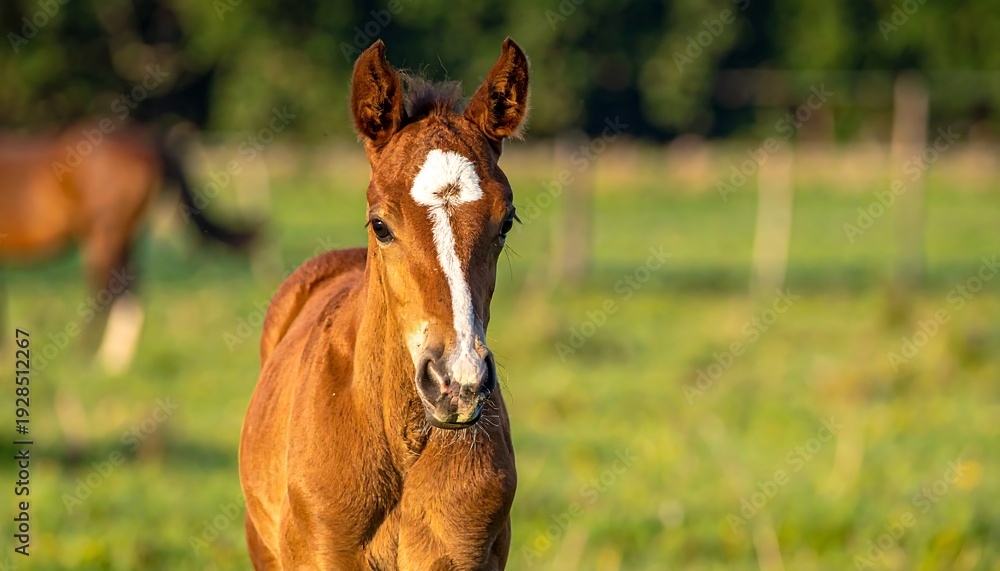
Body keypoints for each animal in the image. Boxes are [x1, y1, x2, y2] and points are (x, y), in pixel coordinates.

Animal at [0, 123, 258, 372]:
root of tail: (146, 140)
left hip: (106, 234)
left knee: (106, 291)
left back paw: (87, 359)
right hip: (126, 236)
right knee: (130, 288)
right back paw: (114, 363)